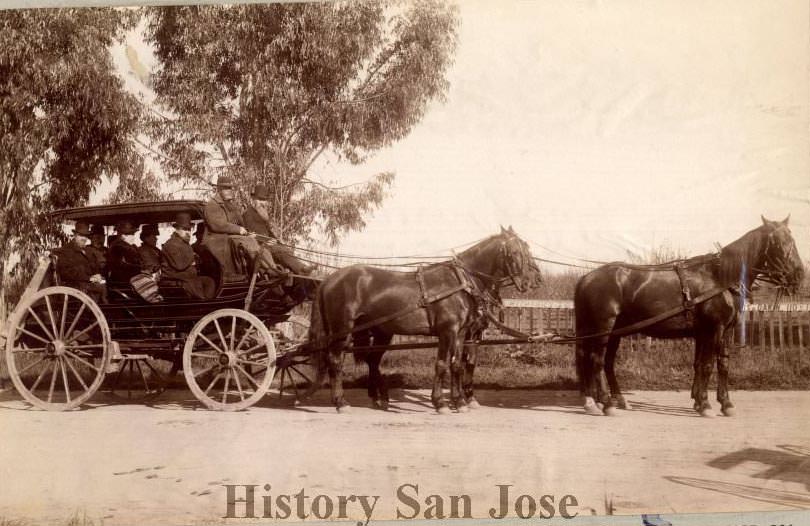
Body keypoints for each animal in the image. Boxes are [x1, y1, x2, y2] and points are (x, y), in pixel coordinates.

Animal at [306, 229, 540, 414]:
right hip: (342, 330)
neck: (460, 283)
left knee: (371, 360)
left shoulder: (462, 333)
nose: (531, 281)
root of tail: (329, 279)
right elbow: (442, 364)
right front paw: (441, 403)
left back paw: (378, 399)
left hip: (379, 332)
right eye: (516, 252)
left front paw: (460, 402)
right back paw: (341, 402)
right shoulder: (448, 331)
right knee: (335, 360)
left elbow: (457, 365)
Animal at [576, 217, 800, 418]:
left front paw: (721, 403)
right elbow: (707, 365)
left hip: (614, 331)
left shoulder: (721, 331)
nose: (798, 275)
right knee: (596, 360)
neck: (719, 278)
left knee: (604, 362)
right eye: (778, 243)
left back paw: (603, 401)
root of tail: (587, 277)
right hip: (604, 328)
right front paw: (706, 405)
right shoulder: (713, 329)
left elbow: (717, 365)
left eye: (792, 239)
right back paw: (605, 403)